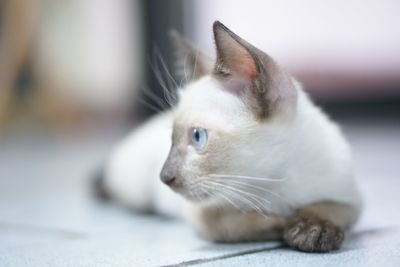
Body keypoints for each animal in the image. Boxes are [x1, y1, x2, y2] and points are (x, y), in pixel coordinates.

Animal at [98, 21, 360, 253]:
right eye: (171, 139)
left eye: (198, 137)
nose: (164, 177)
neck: (275, 182)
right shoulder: (206, 214)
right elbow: (253, 222)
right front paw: (287, 223)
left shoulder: (351, 199)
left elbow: (329, 207)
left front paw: (313, 229)